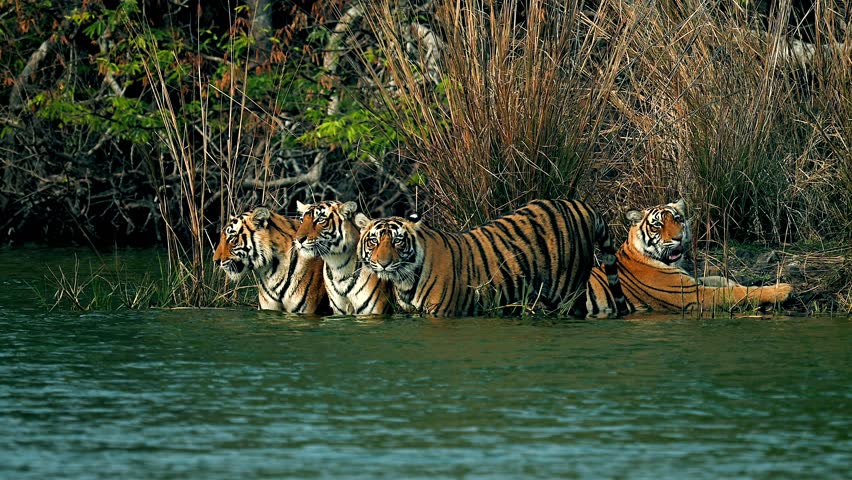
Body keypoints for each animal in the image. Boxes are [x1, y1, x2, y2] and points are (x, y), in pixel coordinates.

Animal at [357, 199, 629, 317]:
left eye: (398, 241)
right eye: (373, 241)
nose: (383, 263)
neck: (404, 280)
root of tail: (582, 205)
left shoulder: (441, 313)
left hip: (568, 291)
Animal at [585, 199, 794, 315]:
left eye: (677, 219)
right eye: (657, 225)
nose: (678, 238)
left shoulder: (692, 281)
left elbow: (722, 280)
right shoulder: (692, 293)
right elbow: (736, 293)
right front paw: (783, 289)